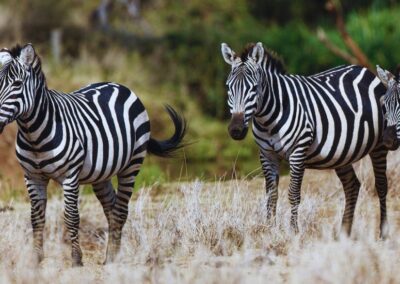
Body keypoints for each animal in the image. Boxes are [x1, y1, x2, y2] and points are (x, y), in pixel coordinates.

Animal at [0, 43, 186, 266]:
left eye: (17, 84)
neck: (34, 135)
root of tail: (117, 84)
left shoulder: (70, 177)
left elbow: (71, 216)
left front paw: (76, 259)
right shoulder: (32, 176)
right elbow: (36, 218)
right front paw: (35, 259)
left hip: (131, 165)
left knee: (121, 210)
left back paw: (113, 259)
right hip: (101, 175)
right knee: (112, 209)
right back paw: (112, 254)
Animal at [220, 41, 390, 237]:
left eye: (254, 88)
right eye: (228, 88)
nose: (236, 130)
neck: (268, 120)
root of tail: (364, 70)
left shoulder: (298, 151)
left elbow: (293, 194)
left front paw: (294, 231)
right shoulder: (266, 154)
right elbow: (271, 195)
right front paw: (269, 230)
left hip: (379, 145)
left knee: (381, 185)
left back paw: (383, 234)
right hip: (341, 153)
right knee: (352, 185)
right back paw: (343, 234)